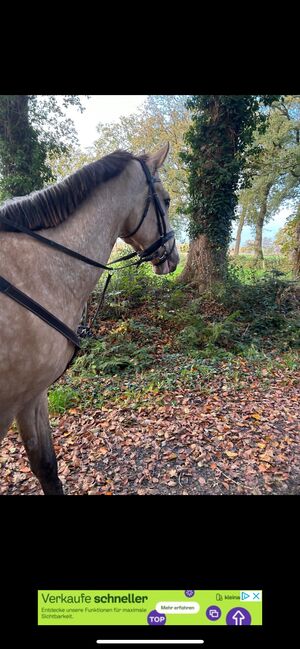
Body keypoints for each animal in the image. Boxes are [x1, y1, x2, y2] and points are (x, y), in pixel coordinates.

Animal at [0, 144, 179, 494]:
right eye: (165, 200)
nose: (174, 257)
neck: (38, 271)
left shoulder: (33, 395)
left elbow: (46, 467)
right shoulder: (13, 403)